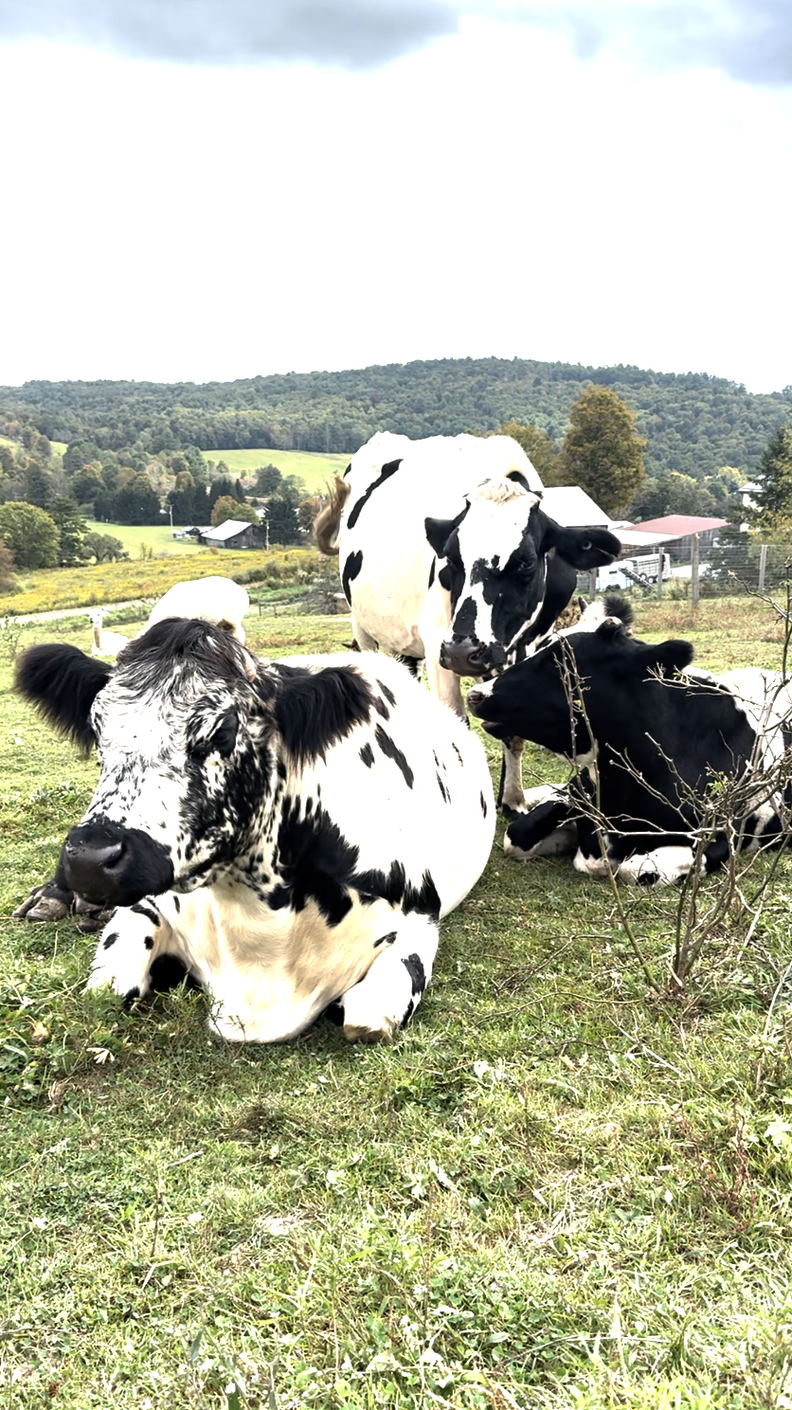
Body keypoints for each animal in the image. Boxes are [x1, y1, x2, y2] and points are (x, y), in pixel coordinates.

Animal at [15, 619, 496, 1042]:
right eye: (98, 732)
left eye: (221, 732)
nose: (91, 858)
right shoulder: (148, 905)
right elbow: (108, 985)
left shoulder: (417, 919)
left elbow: (368, 1017)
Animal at [314, 431, 621, 807]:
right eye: (451, 557)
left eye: (525, 562)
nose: (464, 652)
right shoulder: (438, 643)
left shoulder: (528, 646)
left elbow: (512, 727)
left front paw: (514, 799)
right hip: (364, 628)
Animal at [467, 607, 792, 885]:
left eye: (560, 662)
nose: (476, 694)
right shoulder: (576, 793)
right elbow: (516, 836)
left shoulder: (719, 839)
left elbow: (632, 869)